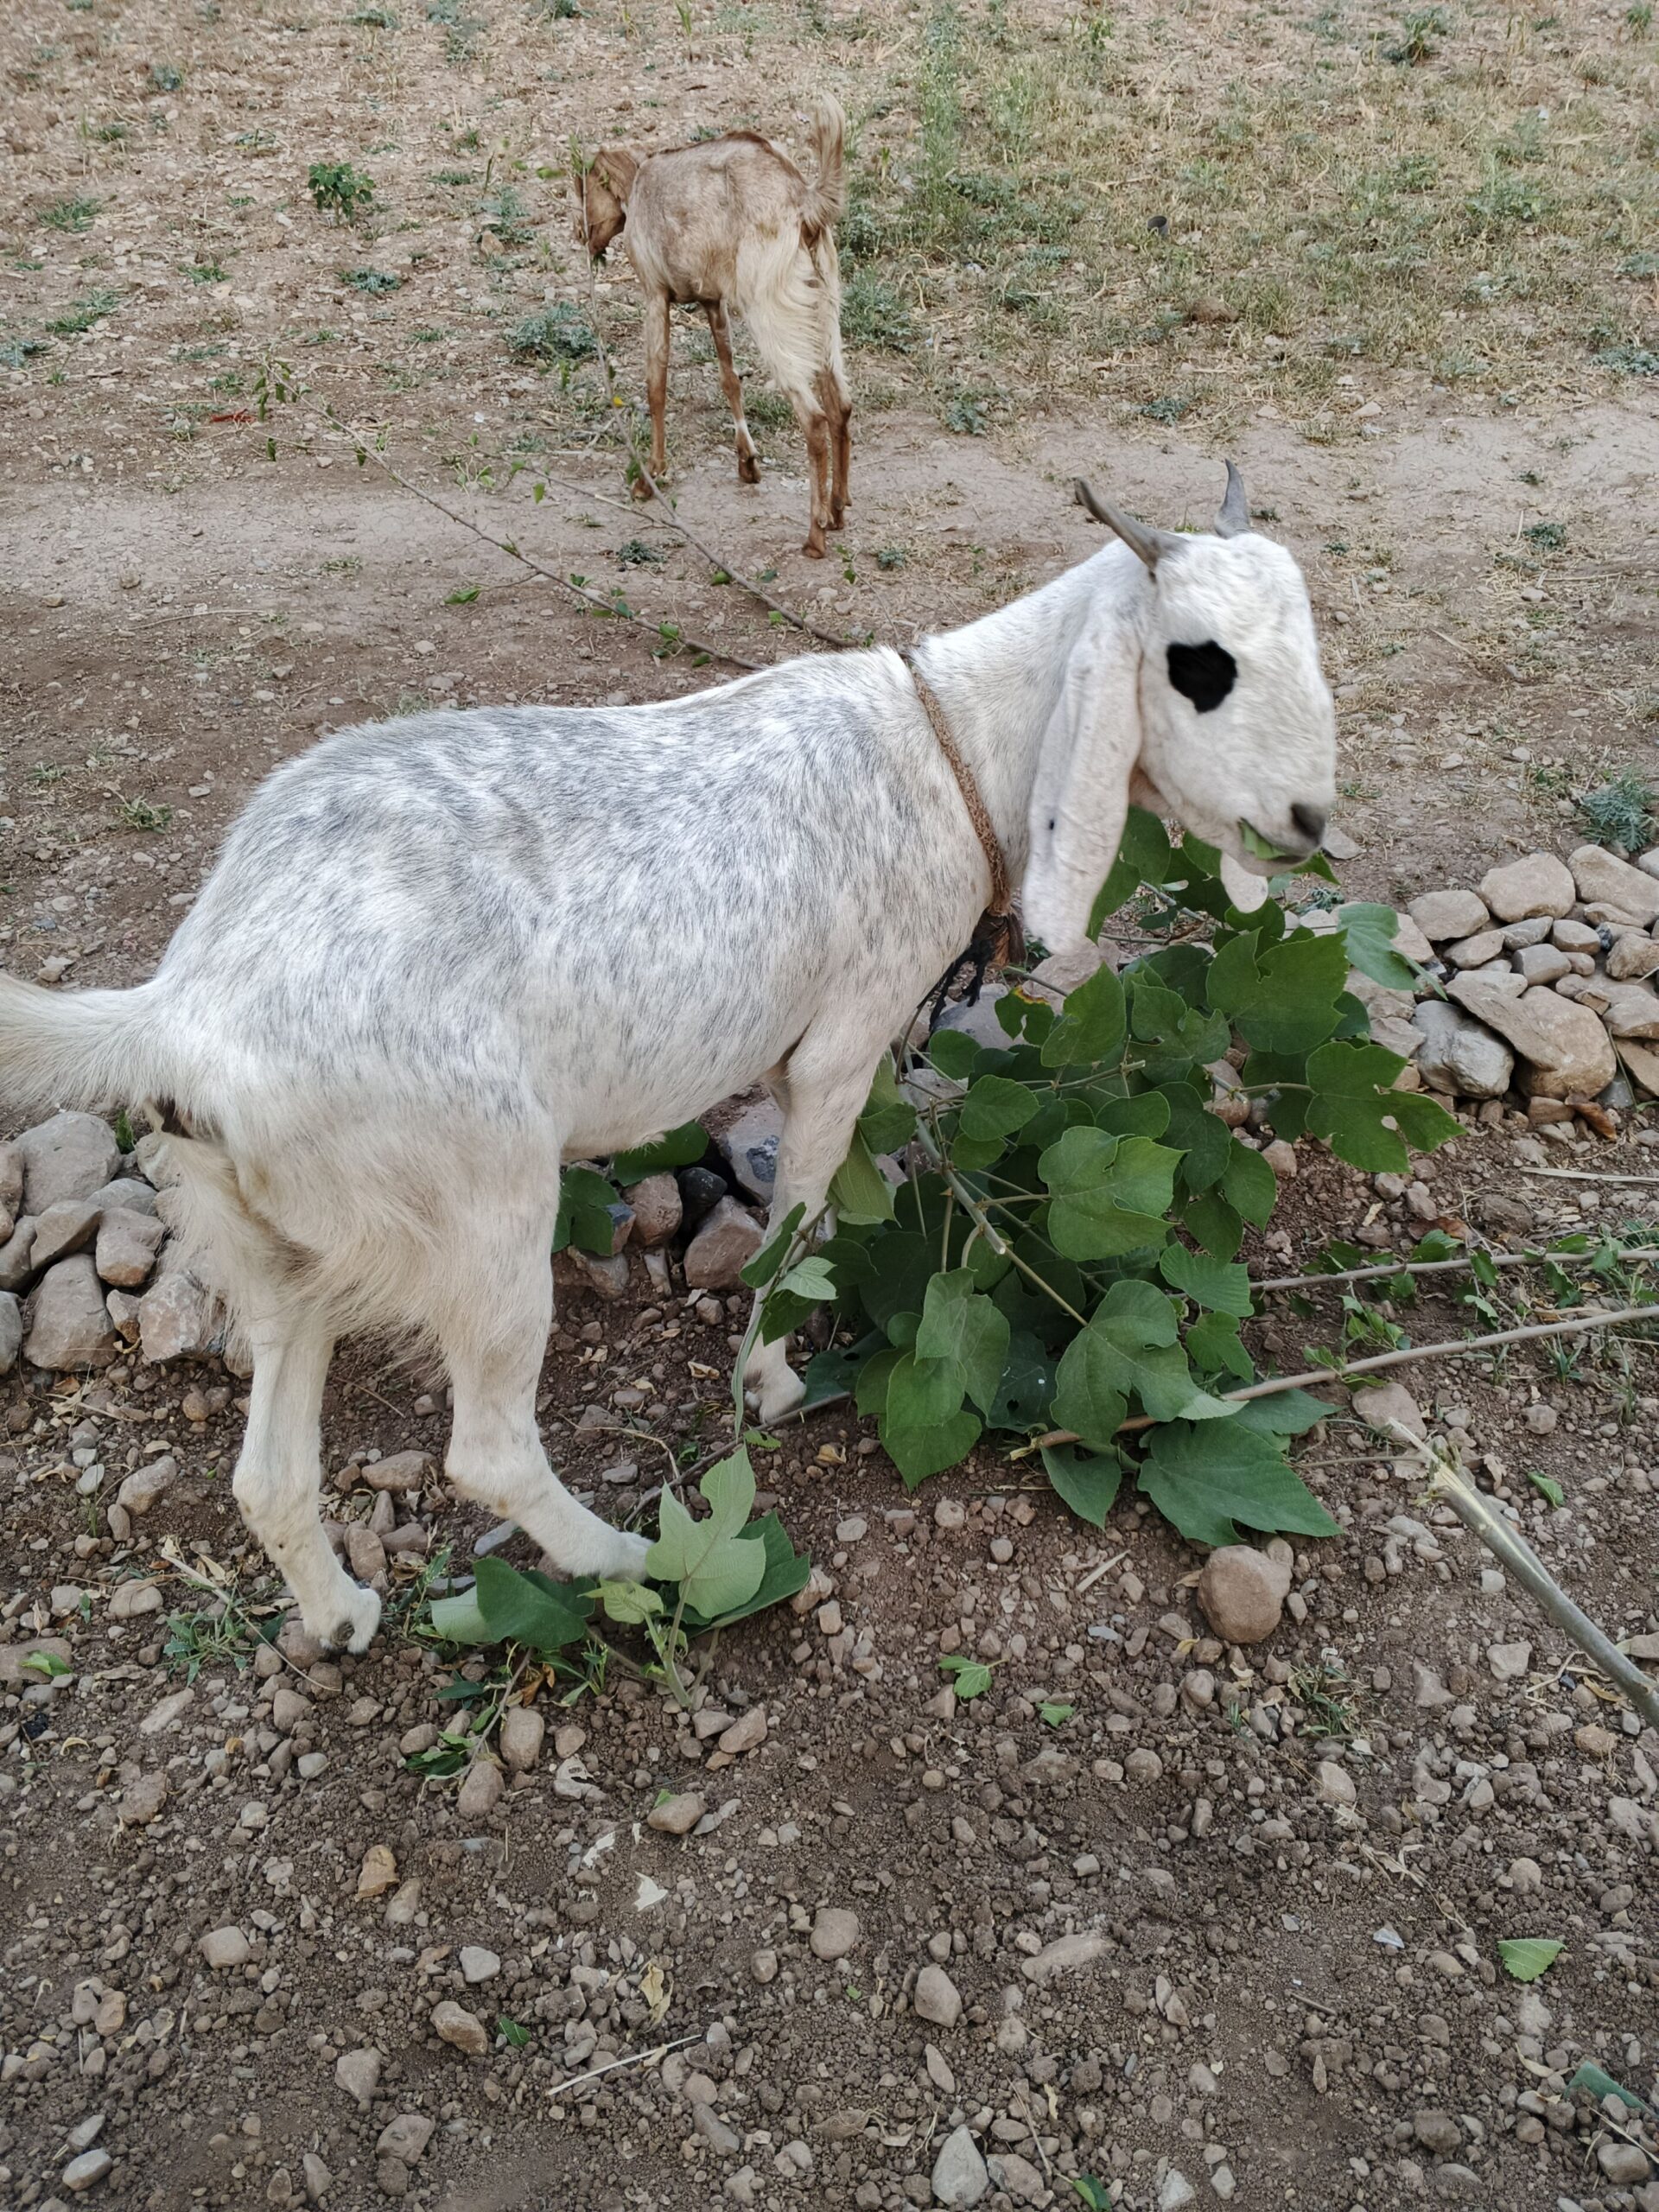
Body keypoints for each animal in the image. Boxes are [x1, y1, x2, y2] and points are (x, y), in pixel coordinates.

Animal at [0, 464, 1335, 1657]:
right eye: (1200, 663)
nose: (1311, 819)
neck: (955, 740)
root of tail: (189, 1007)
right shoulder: (842, 1041)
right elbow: (796, 1229)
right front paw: (770, 1387)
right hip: (480, 1199)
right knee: (487, 1445)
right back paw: (636, 1559)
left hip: (275, 1242)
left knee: (269, 1470)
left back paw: (339, 1619)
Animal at [573, 100, 851, 559]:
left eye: (584, 188)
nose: (580, 234)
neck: (641, 182)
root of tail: (804, 201)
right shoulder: (712, 302)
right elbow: (729, 379)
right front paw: (747, 462)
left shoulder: (655, 296)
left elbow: (657, 385)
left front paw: (650, 475)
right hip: (824, 312)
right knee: (840, 405)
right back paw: (838, 509)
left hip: (770, 314)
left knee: (813, 420)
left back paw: (815, 534)